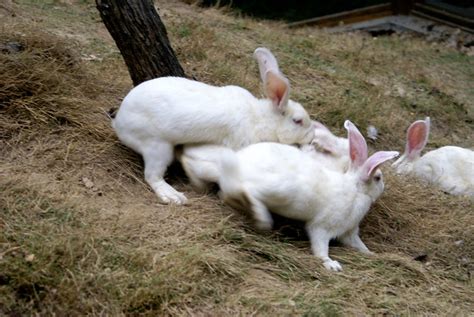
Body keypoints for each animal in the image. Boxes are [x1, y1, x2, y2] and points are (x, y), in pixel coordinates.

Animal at [113, 47, 316, 204]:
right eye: (298, 121)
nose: (312, 137)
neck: (259, 118)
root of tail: (119, 122)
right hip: (158, 148)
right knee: (152, 176)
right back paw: (173, 197)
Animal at [220, 119, 398, 270]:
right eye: (378, 178)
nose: (383, 186)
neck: (355, 189)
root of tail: (238, 164)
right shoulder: (322, 227)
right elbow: (320, 247)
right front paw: (332, 265)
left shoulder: (349, 232)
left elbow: (359, 245)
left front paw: (371, 253)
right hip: (281, 190)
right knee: (245, 191)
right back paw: (261, 218)